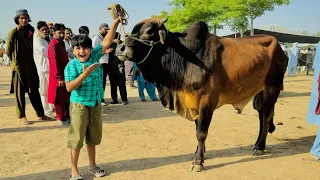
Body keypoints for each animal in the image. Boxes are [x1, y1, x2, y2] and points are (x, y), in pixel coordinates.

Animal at [116, 17, 288, 172]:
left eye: (149, 32)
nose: (120, 48)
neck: (183, 59)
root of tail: (280, 47)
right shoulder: (193, 102)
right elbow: (197, 128)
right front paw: (198, 154)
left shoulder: (207, 100)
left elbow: (201, 133)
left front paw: (198, 162)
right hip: (261, 91)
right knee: (261, 115)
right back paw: (258, 144)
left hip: (272, 87)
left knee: (266, 116)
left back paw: (259, 147)